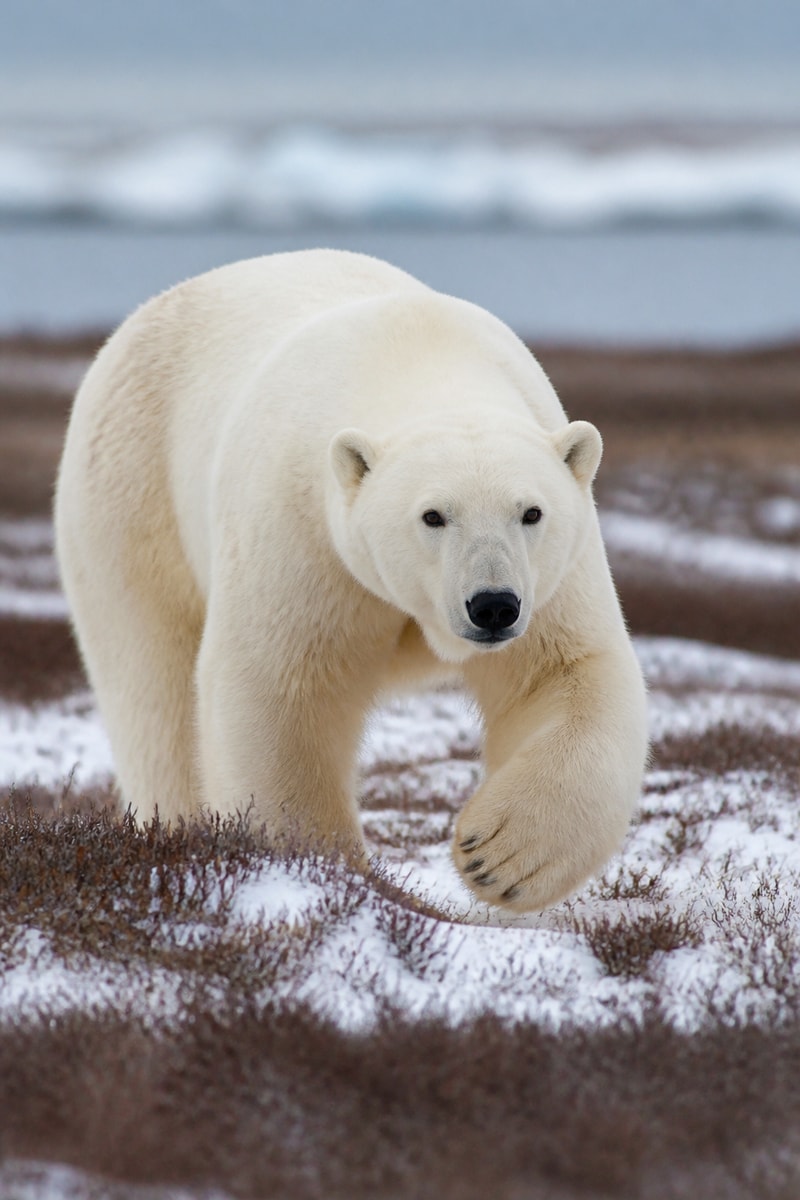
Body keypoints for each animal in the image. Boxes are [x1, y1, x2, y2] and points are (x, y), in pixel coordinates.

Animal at [54, 249, 648, 913]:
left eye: (531, 512)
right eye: (433, 515)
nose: (493, 605)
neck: (419, 353)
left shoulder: (554, 575)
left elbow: (564, 672)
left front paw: (497, 855)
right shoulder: (304, 530)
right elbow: (278, 689)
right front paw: (322, 867)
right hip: (131, 496)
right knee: (152, 684)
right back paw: (176, 830)